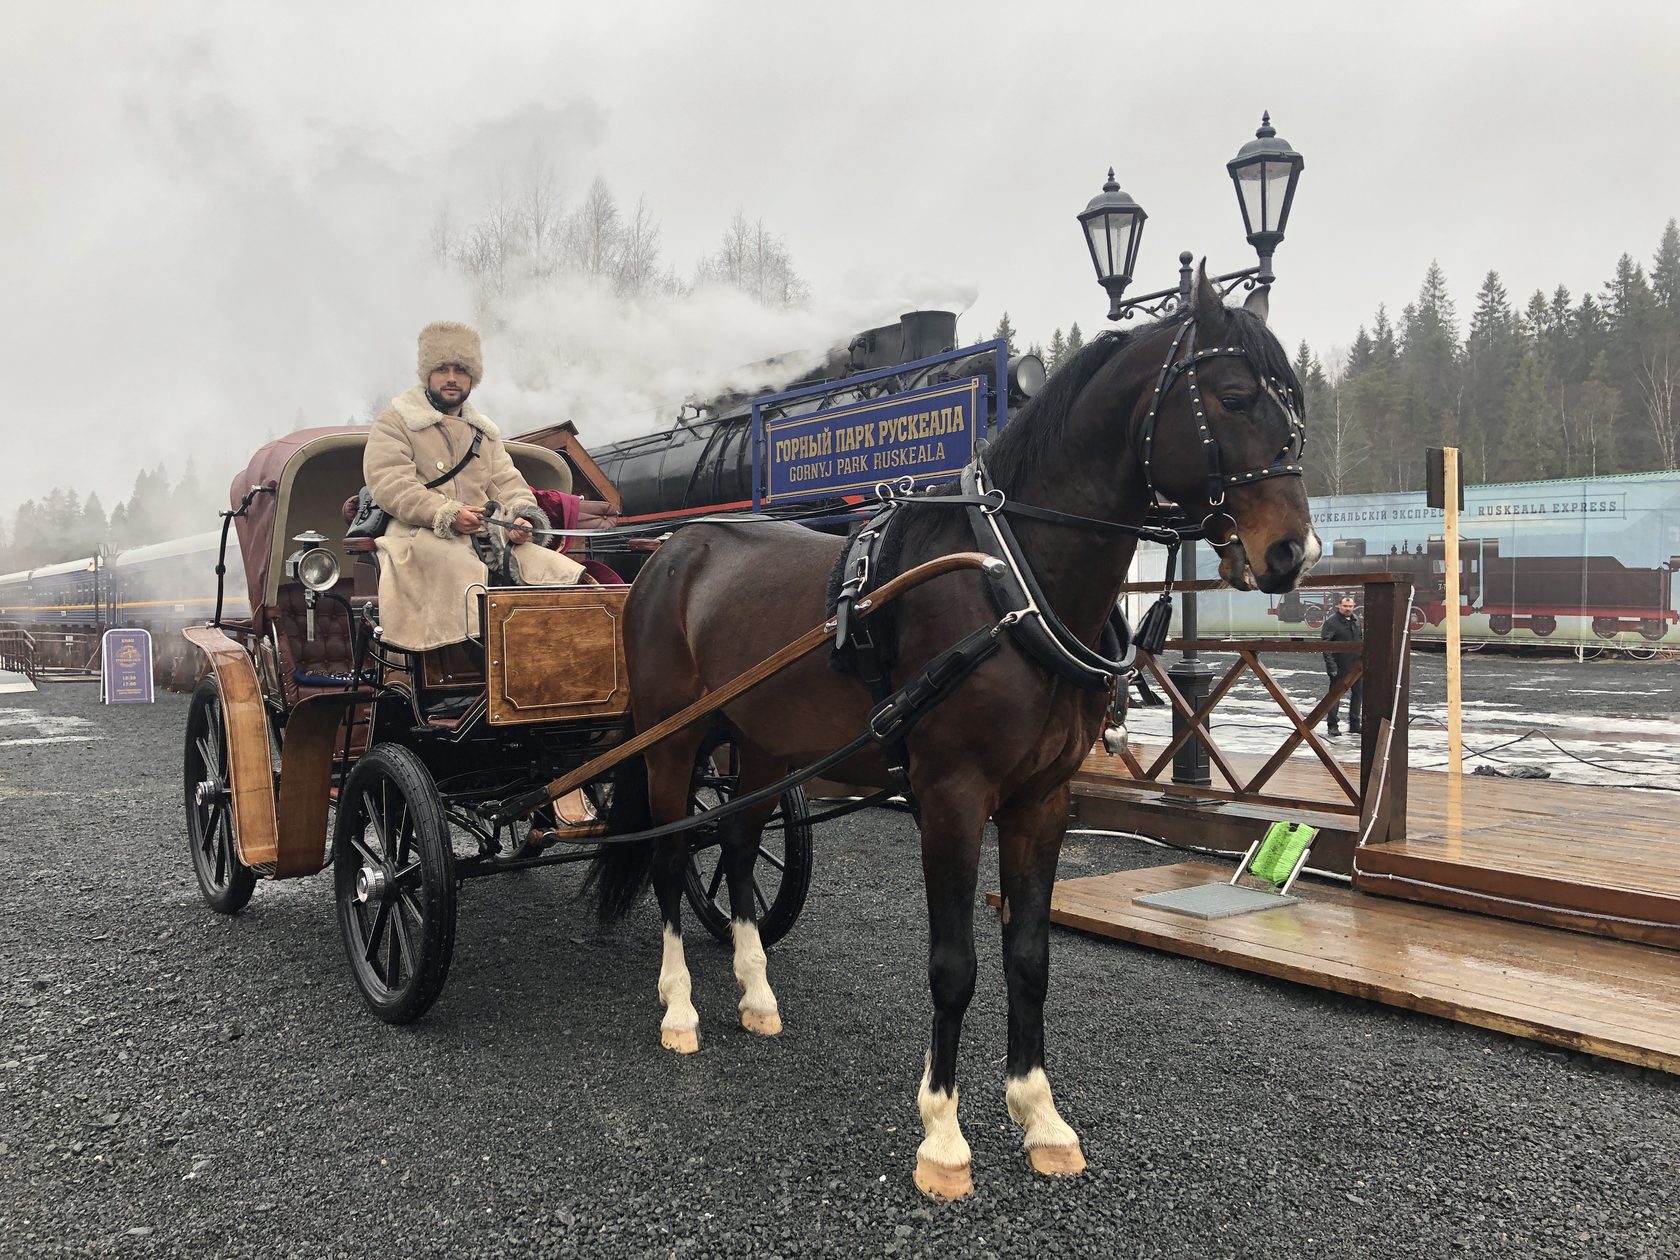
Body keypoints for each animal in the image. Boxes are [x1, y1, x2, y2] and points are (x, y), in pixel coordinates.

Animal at [594, 262, 1323, 1196]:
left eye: (1294, 403)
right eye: (1232, 396)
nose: (1292, 553)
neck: (1012, 585)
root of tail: (675, 550)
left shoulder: (1041, 799)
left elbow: (1029, 957)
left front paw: (1040, 1116)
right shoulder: (949, 795)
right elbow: (954, 965)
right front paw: (942, 1136)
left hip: (758, 747)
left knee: (737, 844)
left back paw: (756, 995)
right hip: (673, 741)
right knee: (669, 855)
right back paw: (680, 1006)